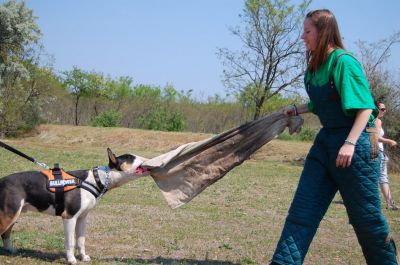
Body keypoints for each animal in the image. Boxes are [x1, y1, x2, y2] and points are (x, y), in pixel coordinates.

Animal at [0, 147, 149, 262]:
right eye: (130, 157)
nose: (148, 159)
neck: (97, 179)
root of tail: (2, 180)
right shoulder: (69, 217)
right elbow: (71, 242)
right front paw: (71, 259)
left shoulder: (82, 218)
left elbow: (81, 240)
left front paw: (83, 257)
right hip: (8, 215)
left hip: (13, 214)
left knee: (5, 234)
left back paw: (10, 249)